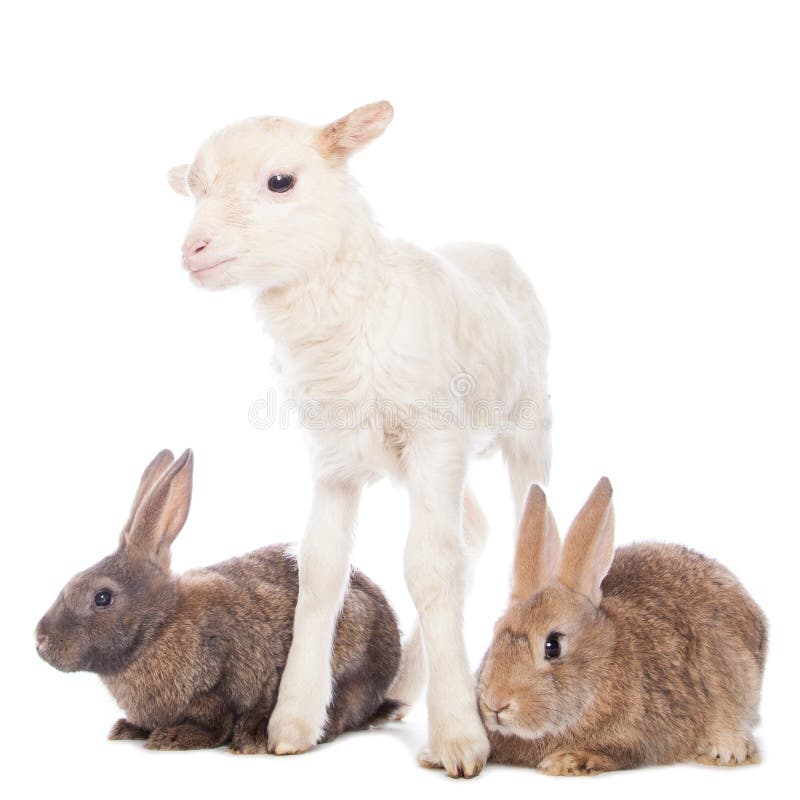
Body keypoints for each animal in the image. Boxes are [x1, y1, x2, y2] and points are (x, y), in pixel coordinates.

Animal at [35, 448, 403, 752]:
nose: (40, 640)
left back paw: (257, 735)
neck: (160, 624)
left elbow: (216, 720)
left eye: (102, 597)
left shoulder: (219, 683)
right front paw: (127, 729)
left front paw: (173, 737)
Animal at [168, 101, 551, 778]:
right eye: (196, 190)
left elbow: (428, 566)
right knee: (473, 531)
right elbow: (322, 571)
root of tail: (486, 244)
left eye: (281, 182)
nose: (193, 250)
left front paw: (459, 737)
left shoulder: (432, 435)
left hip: (525, 423)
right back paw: (406, 681)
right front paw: (293, 721)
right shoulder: (334, 457)